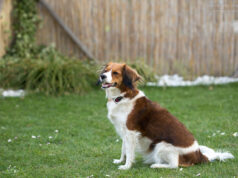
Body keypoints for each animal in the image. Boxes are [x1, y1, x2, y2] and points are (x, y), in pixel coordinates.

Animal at [97, 62, 233, 170]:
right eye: (106, 70)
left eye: (115, 73)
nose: (102, 76)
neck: (122, 96)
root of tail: (199, 155)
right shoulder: (124, 131)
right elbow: (123, 149)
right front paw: (120, 161)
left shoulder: (130, 132)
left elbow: (129, 152)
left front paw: (126, 166)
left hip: (161, 145)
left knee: (174, 165)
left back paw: (157, 165)